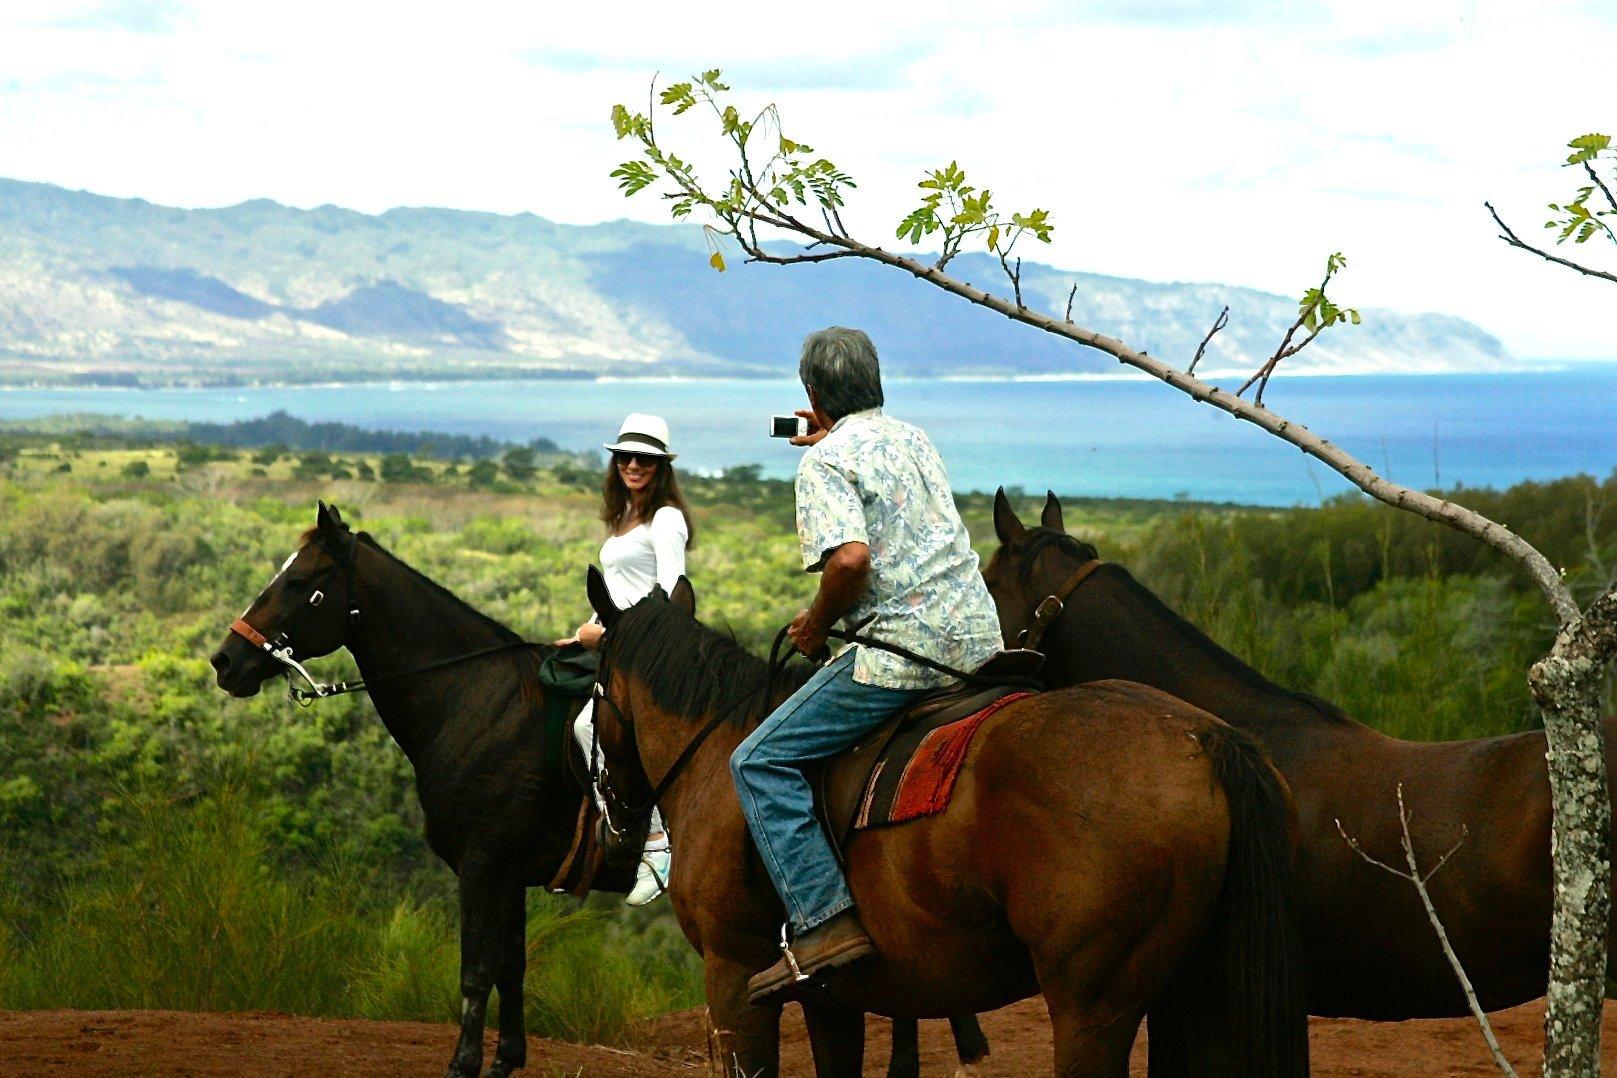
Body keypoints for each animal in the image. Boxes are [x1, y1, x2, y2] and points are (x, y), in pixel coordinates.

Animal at [588, 568, 1306, 1073]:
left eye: (591, 694)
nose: (613, 817)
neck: (717, 748)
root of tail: (1202, 740)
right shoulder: (831, 1006)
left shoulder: (733, 980)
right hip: (1194, 994)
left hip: (1092, 1008)